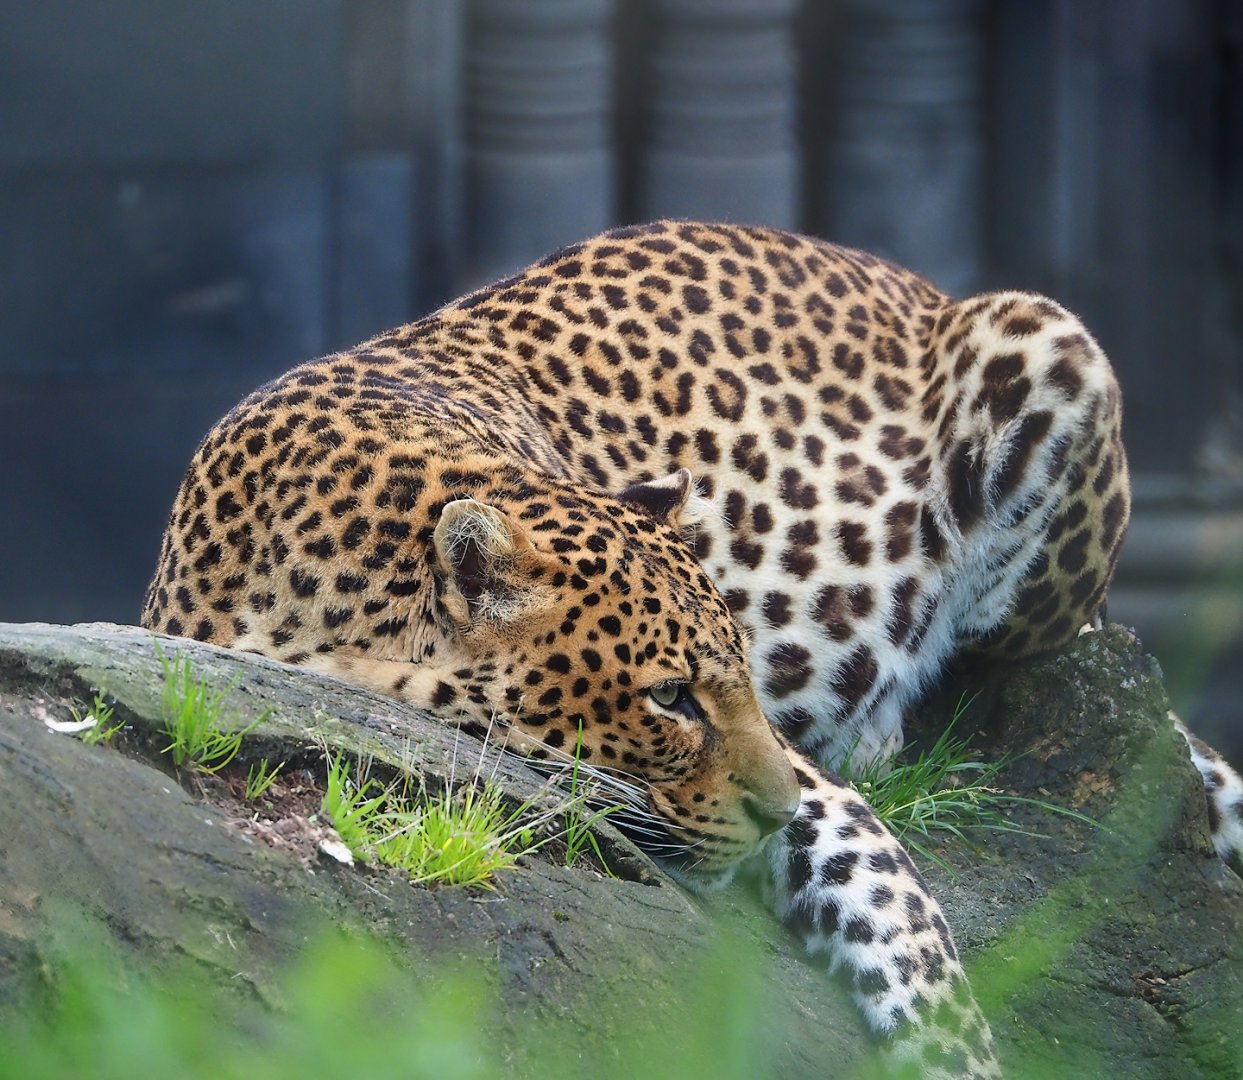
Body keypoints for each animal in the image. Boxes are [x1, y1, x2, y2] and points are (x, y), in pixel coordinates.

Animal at [142, 220, 1232, 1078]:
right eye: (668, 698)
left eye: (739, 679)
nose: (776, 810)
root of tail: (914, 284)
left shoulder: (810, 784)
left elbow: (900, 914)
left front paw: (956, 1055)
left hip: (1048, 356)